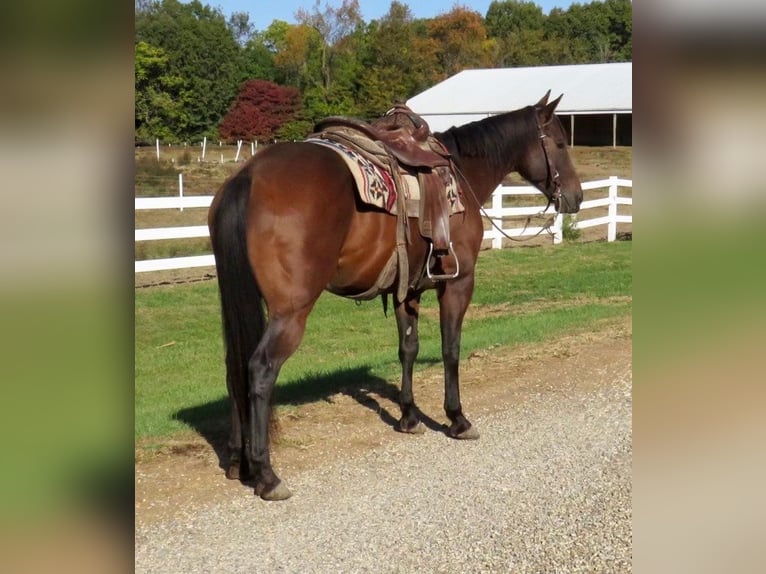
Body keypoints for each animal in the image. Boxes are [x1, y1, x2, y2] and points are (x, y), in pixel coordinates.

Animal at [208, 92, 584, 502]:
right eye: (560, 142)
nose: (576, 197)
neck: (462, 175)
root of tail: (248, 175)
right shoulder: (458, 284)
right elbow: (451, 349)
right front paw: (457, 418)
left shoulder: (408, 290)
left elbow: (409, 349)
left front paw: (409, 416)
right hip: (291, 312)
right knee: (260, 369)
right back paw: (266, 473)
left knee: (233, 368)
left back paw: (237, 460)